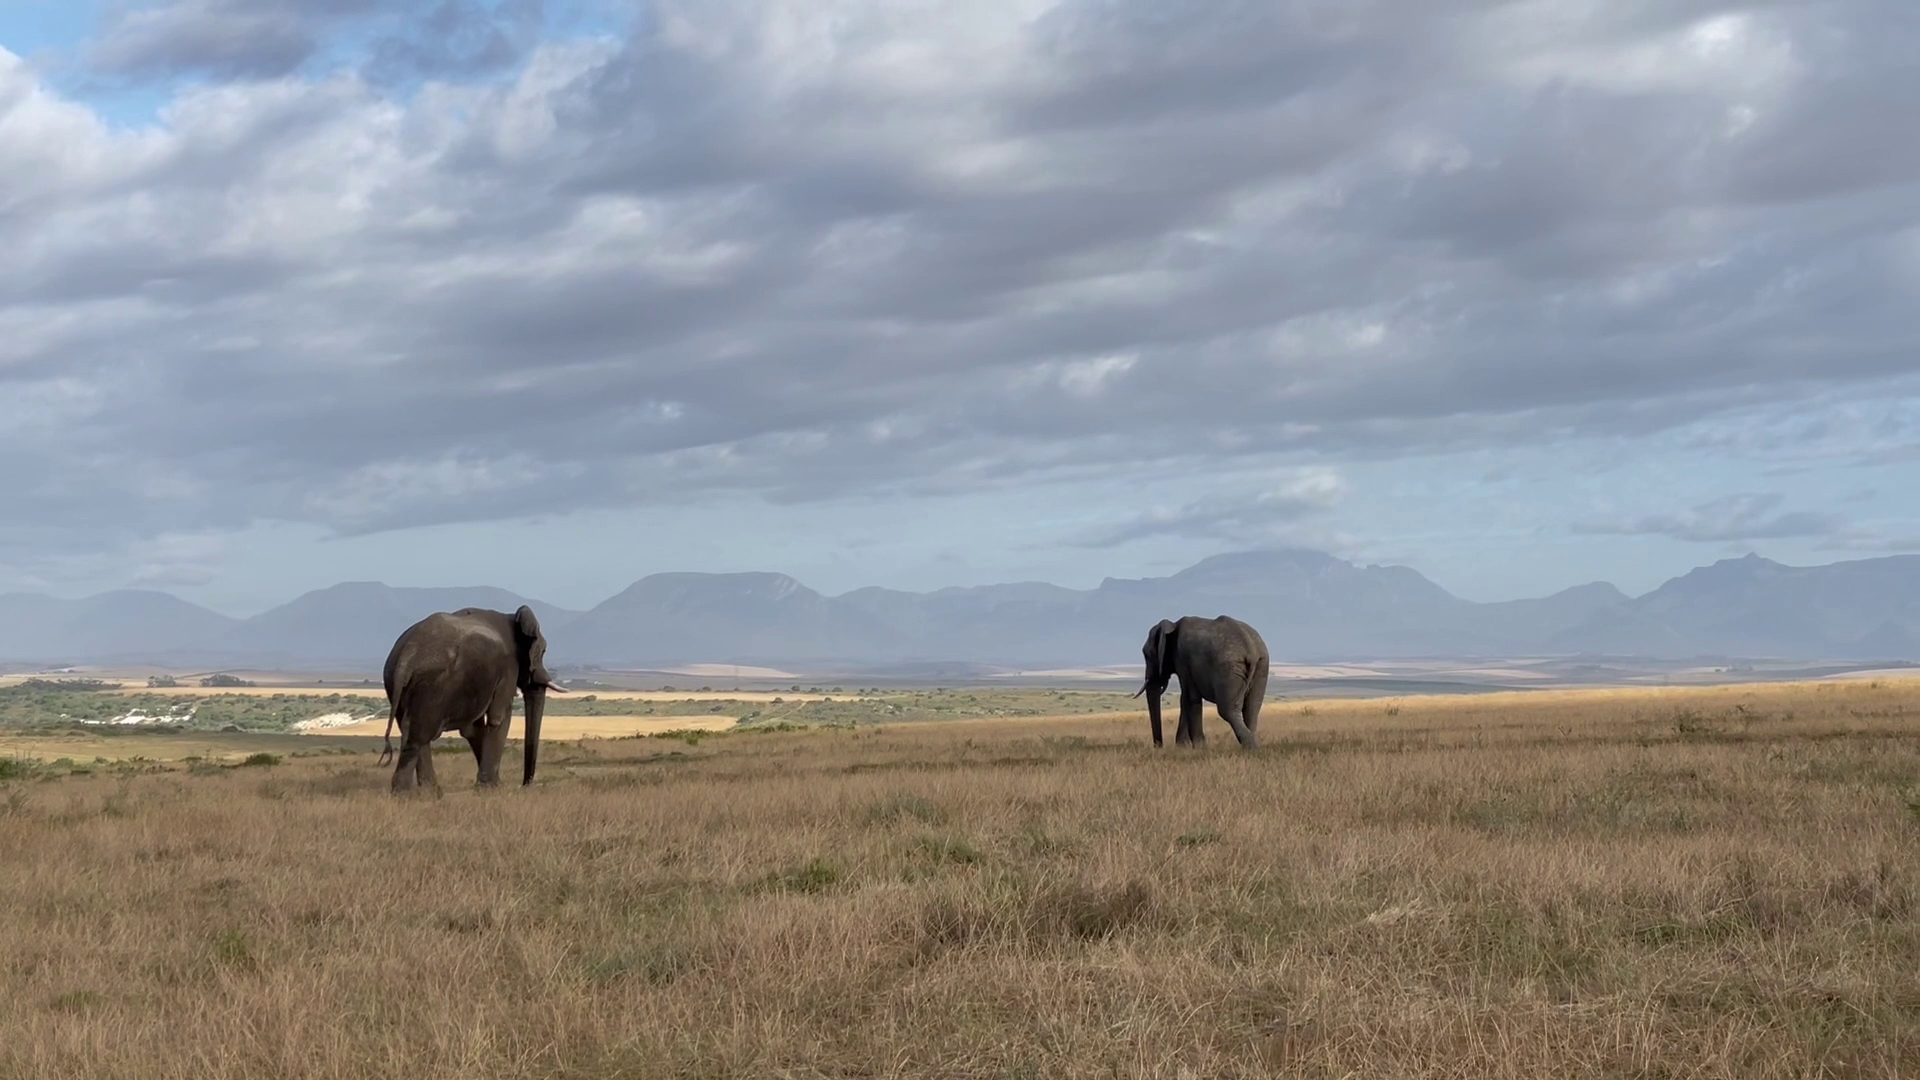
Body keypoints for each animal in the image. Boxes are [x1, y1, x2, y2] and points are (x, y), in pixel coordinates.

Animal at [378, 607, 560, 791]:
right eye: (543, 651)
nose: (525, 785)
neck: (511, 617)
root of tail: (407, 655)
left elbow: (473, 729)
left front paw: (492, 785)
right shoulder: (507, 668)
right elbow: (498, 718)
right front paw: (492, 788)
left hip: (395, 680)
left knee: (411, 730)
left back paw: (430, 793)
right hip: (433, 684)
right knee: (419, 734)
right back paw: (411, 794)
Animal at [1128, 614, 1267, 749]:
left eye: (1147, 655)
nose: (1159, 746)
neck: (1173, 625)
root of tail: (1251, 650)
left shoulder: (1183, 659)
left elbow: (1189, 697)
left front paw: (1197, 747)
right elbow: (1185, 699)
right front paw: (1183, 747)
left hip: (1228, 668)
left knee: (1227, 709)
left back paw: (1251, 747)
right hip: (1261, 666)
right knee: (1252, 708)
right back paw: (1252, 745)